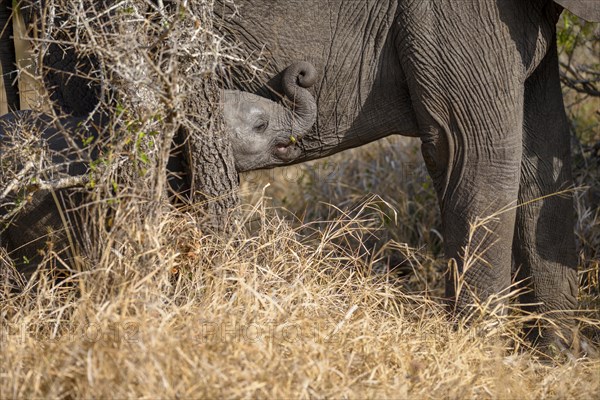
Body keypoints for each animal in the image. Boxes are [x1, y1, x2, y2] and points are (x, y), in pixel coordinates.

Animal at [216, 0, 600, 354]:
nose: (301, 72)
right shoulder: (453, 15)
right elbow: (476, 153)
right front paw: (477, 355)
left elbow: (545, 145)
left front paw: (558, 357)